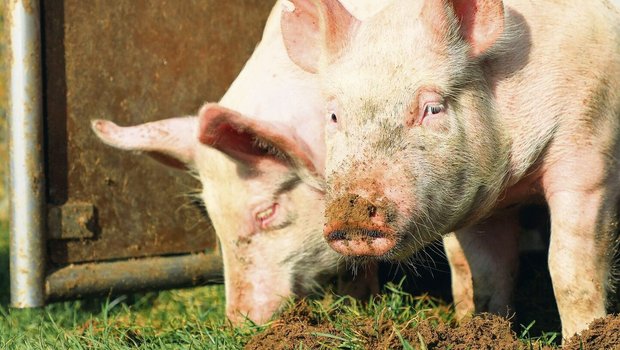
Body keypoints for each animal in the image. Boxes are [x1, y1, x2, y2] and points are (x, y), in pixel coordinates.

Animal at [280, 0, 620, 340]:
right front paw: (487, 328)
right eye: (334, 116)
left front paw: (582, 336)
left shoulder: (590, 157)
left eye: (433, 108)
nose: (353, 210)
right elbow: (487, 274)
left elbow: (569, 272)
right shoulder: (480, 202)